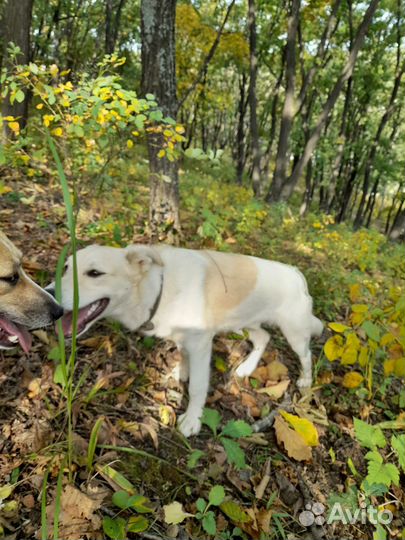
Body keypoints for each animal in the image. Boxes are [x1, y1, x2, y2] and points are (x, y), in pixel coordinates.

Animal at [49, 247, 322, 436]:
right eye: (65, 268)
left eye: (95, 273)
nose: (49, 295)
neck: (159, 289)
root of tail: (296, 273)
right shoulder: (184, 338)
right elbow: (183, 356)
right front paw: (181, 372)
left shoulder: (201, 344)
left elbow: (198, 387)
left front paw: (192, 420)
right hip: (246, 323)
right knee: (263, 337)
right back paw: (246, 368)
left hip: (294, 332)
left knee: (306, 355)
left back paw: (306, 381)